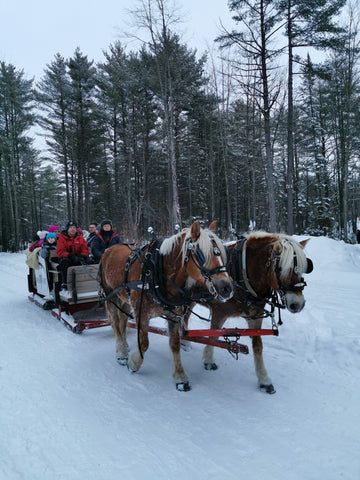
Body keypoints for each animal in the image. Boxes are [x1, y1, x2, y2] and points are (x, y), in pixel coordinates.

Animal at [100, 221, 233, 390]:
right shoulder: (141, 312)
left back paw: (125, 345)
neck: (155, 272)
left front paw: (180, 377)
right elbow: (144, 342)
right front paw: (134, 363)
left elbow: (175, 344)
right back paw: (121, 353)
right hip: (110, 295)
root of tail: (110, 249)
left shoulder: (173, 314)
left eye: (222, 253)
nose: (227, 288)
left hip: (125, 298)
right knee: (116, 323)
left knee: (123, 320)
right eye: (201, 254)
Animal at [186, 232, 312, 394]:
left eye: (302, 268)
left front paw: (264, 379)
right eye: (281, 269)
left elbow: (258, 347)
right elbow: (213, 336)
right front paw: (208, 361)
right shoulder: (219, 313)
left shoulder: (255, 317)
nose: (298, 304)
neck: (242, 273)